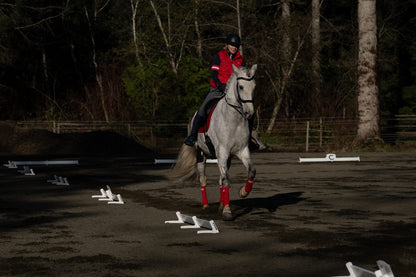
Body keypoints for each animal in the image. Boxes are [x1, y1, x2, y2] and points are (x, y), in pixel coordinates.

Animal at [168, 63, 256, 220]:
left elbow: (251, 172)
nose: (250, 113)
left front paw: (243, 192)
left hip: (225, 158)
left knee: (220, 179)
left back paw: (220, 204)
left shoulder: (242, 151)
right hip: (200, 155)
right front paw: (227, 211)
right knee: (203, 179)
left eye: (254, 86)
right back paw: (205, 205)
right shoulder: (222, 152)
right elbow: (226, 180)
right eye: (240, 87)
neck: (234, 120)